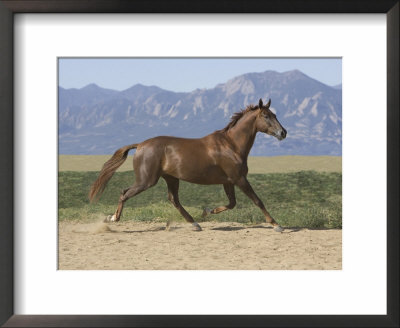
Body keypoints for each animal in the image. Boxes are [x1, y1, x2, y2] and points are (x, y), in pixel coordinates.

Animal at [88, 98, 286, 232]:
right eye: (266, 116)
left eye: (275, 115)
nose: (283, 133)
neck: (231, 145)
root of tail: (141, 145)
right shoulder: (239, 179)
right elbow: (257, 200)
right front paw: (276, 225)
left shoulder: (228, 181)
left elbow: (232, 203)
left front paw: (207, 211)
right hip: (147, 180)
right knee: (125, 193)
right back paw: (112, 218)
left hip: (171, 178)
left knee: (173, 199)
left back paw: (195, 223)